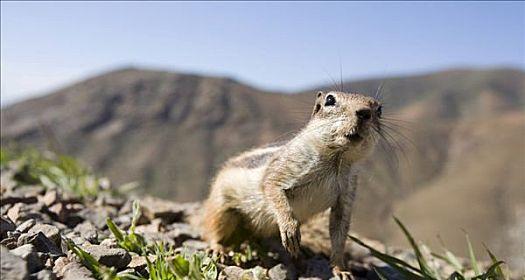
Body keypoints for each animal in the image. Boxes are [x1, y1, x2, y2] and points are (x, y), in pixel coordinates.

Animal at [202, 91, 380, 274]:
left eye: (379, 109)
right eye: (330, 99)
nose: (364, 113)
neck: (337, 159)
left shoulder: (347, 193)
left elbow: (339, 232)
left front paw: (340, 269)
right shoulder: (283, 169)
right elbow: (273, 189)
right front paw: (290, 229)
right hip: (222, 207)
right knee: (212, 230)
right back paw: (218, 248)